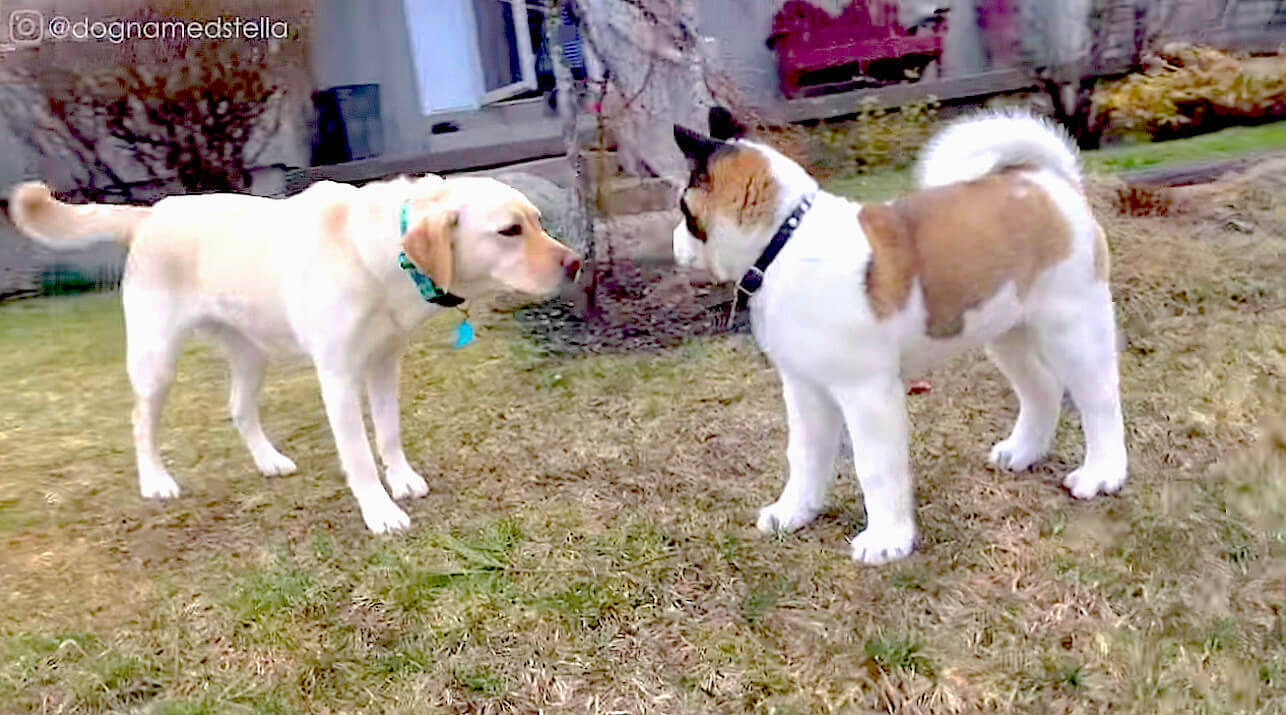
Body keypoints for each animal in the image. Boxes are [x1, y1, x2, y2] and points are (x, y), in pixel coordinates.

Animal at [8, 174, 583, 529]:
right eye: (510, 231)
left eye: (537, 221)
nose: (576, 263)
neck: (380, 255)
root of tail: (150, 215)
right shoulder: (339, 375)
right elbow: (358, 453)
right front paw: (379, 511)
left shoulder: (384, 364)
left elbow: (389, 433)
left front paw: (401, 479)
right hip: (157, 359)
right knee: (140, 421)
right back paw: (156, 481)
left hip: (250, 351)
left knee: (239, 409)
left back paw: (268, 460)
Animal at [673, 107, 1126, 563]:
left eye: (683, 207)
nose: (674, 239)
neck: (785, 240)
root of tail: (1048, 181)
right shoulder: (805, 390)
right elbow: (803, 455)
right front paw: (794, 512)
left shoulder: (867, 395)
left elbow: (875, 467)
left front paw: (887, 540)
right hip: (1006, 330)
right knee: (1042, 389)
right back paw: (1024, 451)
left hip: (1073, 328)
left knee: (1099, 401)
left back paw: (1102, 474)